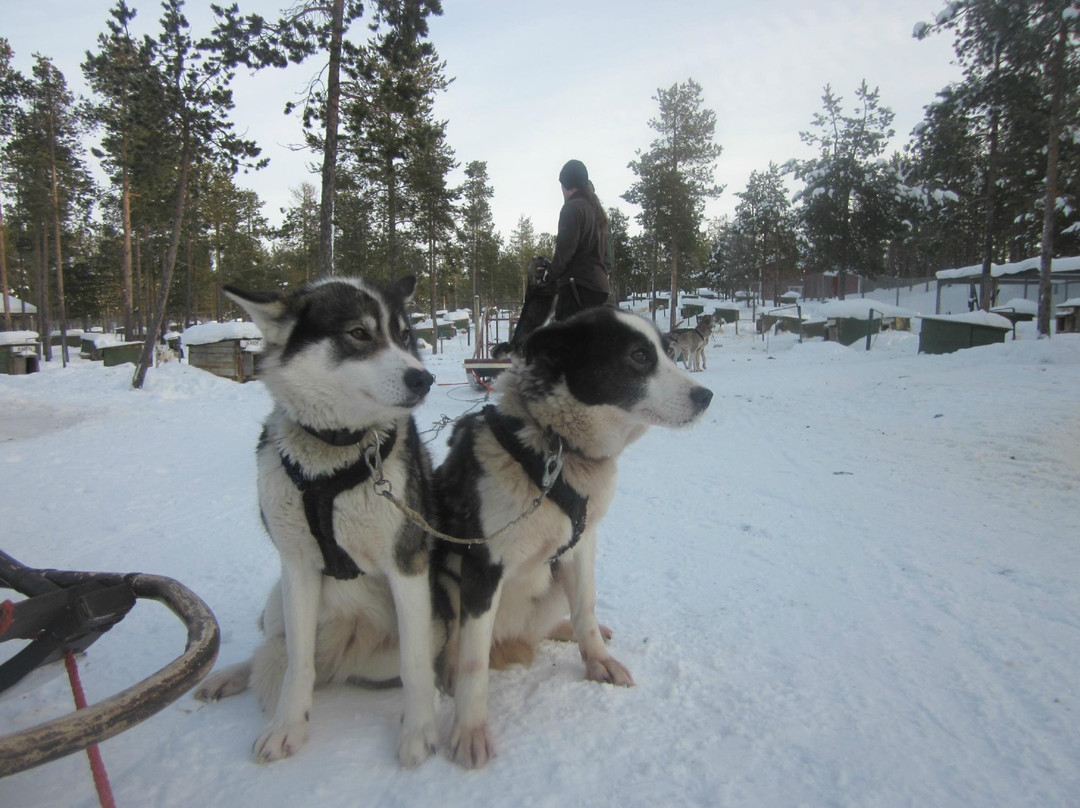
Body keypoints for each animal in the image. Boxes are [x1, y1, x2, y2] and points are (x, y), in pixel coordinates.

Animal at [196, 274, 444, 769]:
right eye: (359, 333)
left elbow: (414, 663)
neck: (336, 456)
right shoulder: (297, 567)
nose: (422, 377)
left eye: (405, 335)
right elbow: (298, 662)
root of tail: (343, 655)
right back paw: (228, 676)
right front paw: (287, 726)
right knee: (277, 648)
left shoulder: (406, 565)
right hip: (278, 598)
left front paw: (419, 729)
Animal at [429, 306, 717, 769]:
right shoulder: (481, 567)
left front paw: (597, 660)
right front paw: (469, 729)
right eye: (638, 356)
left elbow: (586, 609)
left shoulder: (580, 548)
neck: (556, 451)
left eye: (668, 349)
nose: (705, 396)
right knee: (458, 645)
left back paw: (561, 629)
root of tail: (509, 636)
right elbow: (474, 663)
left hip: (551, 585)